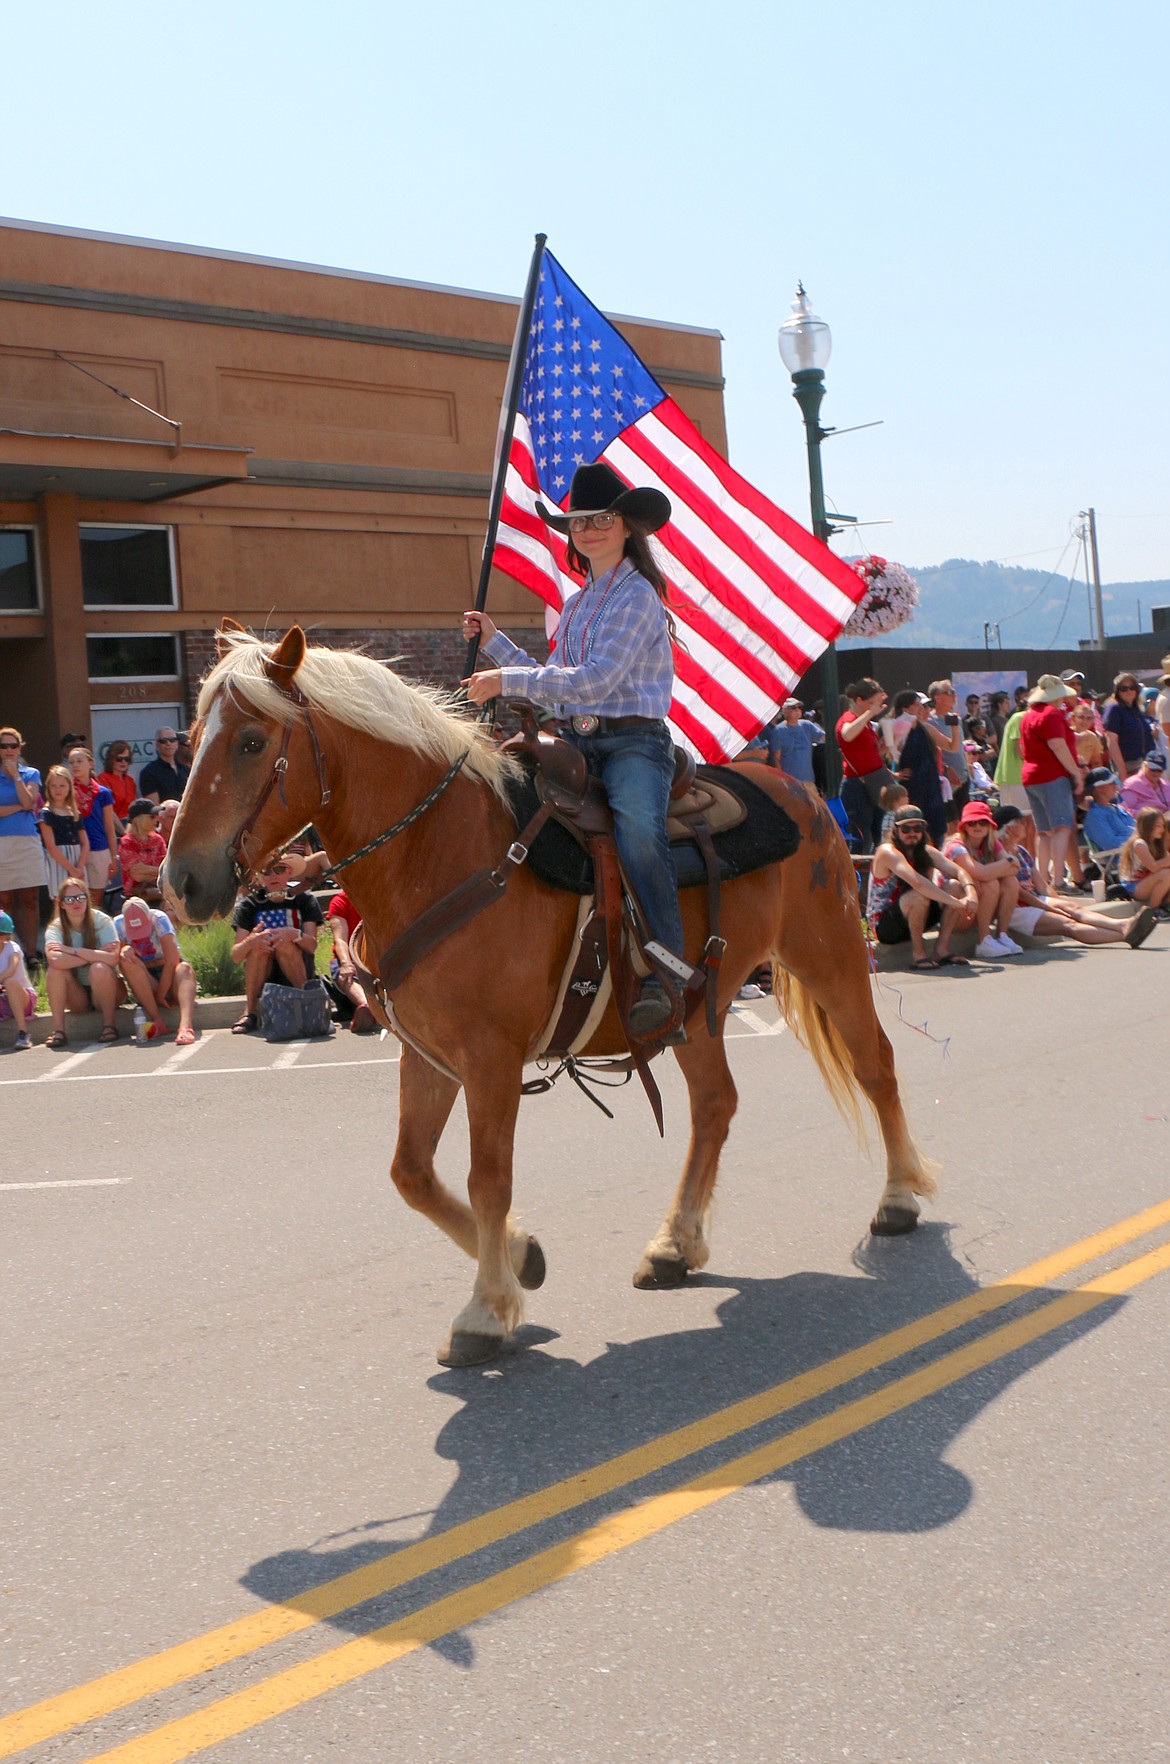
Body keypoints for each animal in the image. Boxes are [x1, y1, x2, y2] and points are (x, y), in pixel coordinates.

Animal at [165, 627, 938, 1368]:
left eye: (252, 741)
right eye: (196, 739)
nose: (182, 882)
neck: (440, 853)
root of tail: (802, 789)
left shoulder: (490, 1060)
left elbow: (487, 1178)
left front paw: (484, 1311)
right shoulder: (429, 1054)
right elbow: (411, 1174)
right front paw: (520, 1254)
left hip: (830, 955)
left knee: (876, 1064)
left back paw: (899, 1198)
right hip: (696, 1007)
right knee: (715, 1105)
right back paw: (674, 1245)